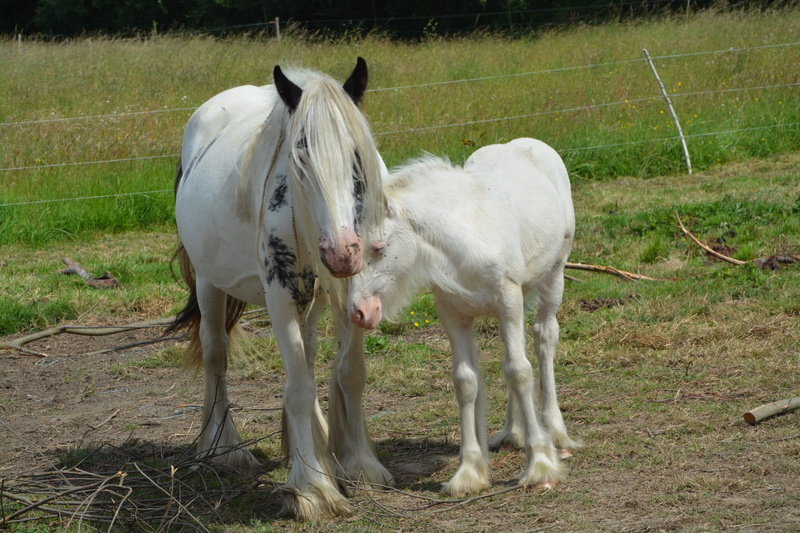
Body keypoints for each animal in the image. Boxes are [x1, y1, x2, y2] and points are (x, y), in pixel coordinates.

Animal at [168, 58, 394, 520]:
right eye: (300, 153)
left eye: (356, 154)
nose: (342, 253)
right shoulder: (281, 297)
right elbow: (299, 387)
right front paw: (311, 490)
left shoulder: (355, 294)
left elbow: (349, 373)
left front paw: (358, 464)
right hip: (210, 284)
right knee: (216, 356)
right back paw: (224, 449)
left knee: (305, 356)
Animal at [347, 138, 580, 496]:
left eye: (379, 247)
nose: (360, 312)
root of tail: (527, 143)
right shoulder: (453, 313)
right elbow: (466, 380)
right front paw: (469, 472)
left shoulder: (507, 299)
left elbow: (519, 371)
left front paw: (541, 465)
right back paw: (514, 432)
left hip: (553, 276)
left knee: (543, 340)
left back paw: (555, 434)